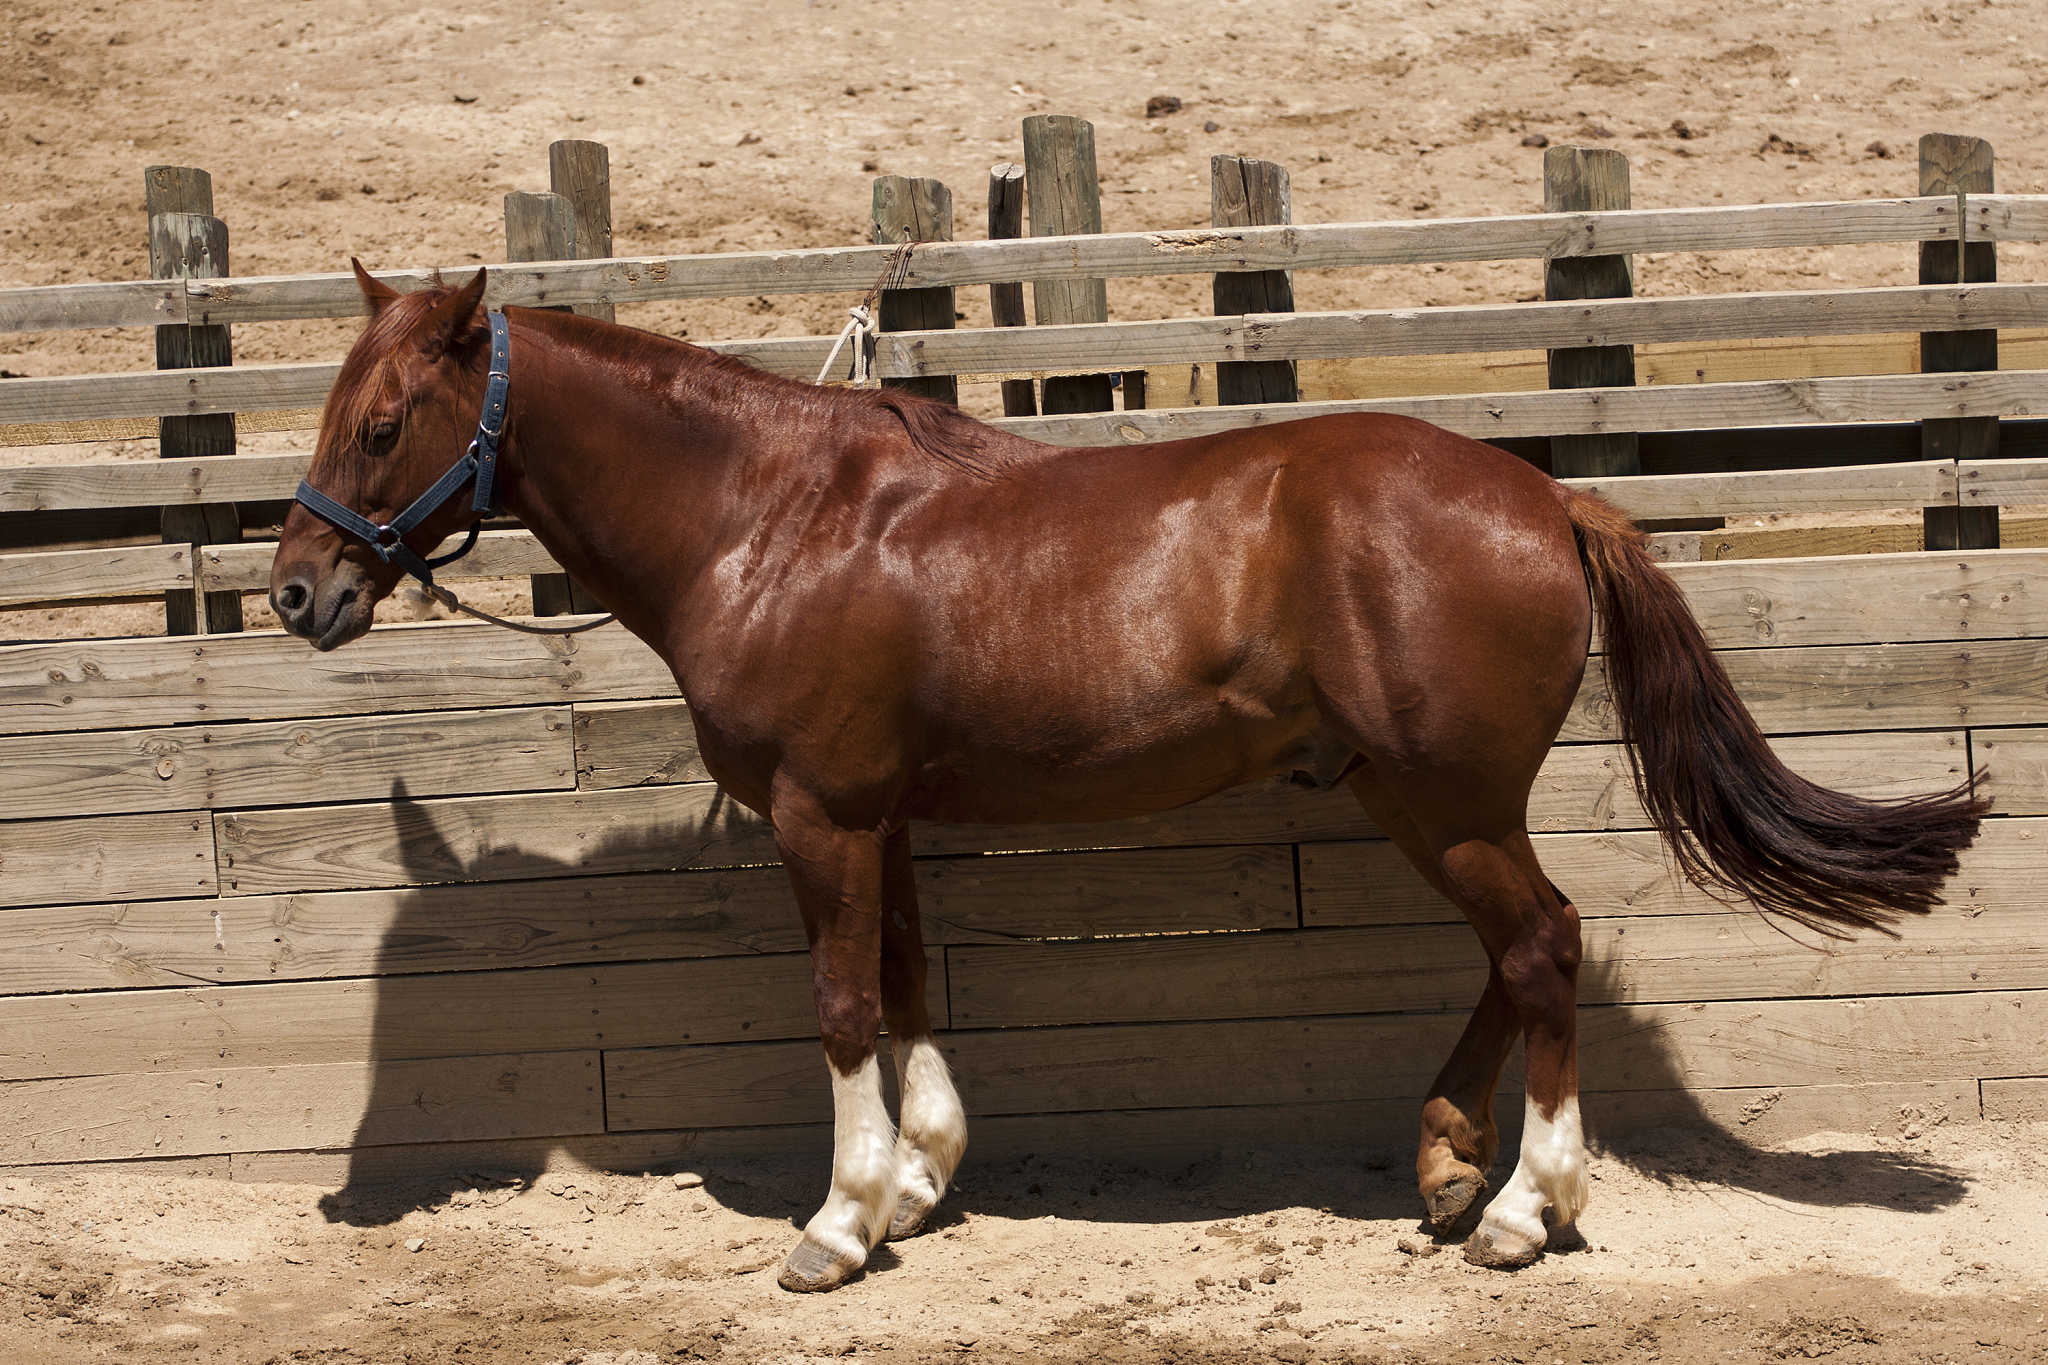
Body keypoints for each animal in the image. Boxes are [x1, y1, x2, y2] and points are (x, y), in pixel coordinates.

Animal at [269, 264, 1985, 1290]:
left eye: (382, 421)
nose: (297, 592)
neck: (774, 521)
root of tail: (1549, 498)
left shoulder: (823, 817)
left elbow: (839, 1006)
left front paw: (835, 1223)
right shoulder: (885, 819)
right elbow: (904, 985)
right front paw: (917, 1182)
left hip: (1441, 800)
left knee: (1546, 948)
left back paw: (1516, 1207)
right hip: (1416, 798)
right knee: (1522, 952)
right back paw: (1446, 1158)